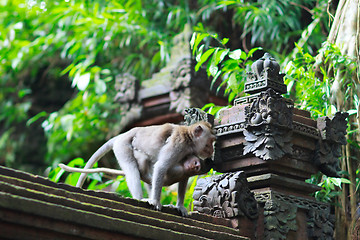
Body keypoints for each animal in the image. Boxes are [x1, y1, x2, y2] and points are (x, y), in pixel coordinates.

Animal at [72, 122, 214, 216]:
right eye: (210, 142)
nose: (212, 150)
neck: (189, 138)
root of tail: (123, 134)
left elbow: (184, 178)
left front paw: (180, 206)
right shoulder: (178, 145)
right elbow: (161, 166)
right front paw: (155, 201)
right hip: (122, 146)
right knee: (132, 169)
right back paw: (140, 199)